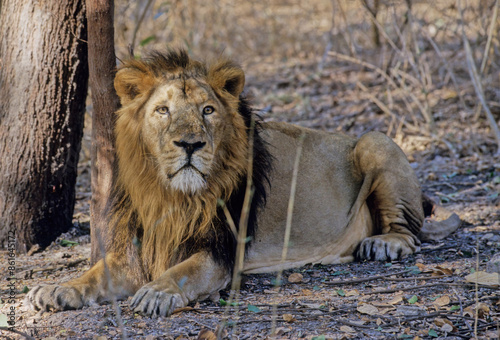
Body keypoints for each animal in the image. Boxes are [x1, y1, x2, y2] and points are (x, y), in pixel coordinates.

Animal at [26, 49, 426, 318]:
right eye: (162, 110)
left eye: (208, 110)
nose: (190, 144)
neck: (172, 196)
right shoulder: (133, 252)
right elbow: (96, 273)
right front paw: (58, 289)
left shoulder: (222, 250)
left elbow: (183, 271)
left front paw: (157, 292)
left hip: (375, 140)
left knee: (411, 232)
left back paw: (383, 244)